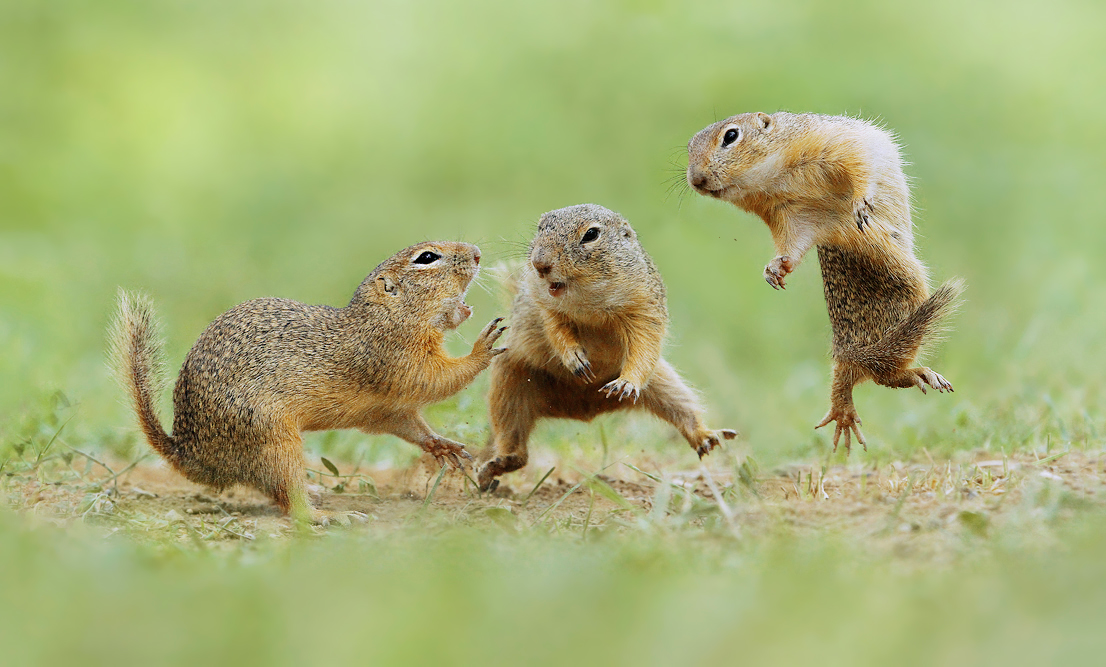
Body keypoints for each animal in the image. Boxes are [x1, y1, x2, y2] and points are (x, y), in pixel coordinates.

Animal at [110, 242, 506, 524]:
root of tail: (190, 453)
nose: (476, 252)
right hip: (272, 440)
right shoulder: (393, 360)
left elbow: (409, 424)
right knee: (289, 501)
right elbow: (438, 380)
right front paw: (483, 348)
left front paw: (442, 445)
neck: (386, 317)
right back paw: (327, 514)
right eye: (427, 258)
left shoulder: (386, 408)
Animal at [475, 203, 734, 491]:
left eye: (591, 234)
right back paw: (495, 466)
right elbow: (556, 332)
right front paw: (574, 358)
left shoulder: (645, 308)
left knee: (683, 410)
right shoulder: (546, 308)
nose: (539, 264)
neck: (589, 302)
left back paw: (706, 437)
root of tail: (581, 407)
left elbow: (645, 346)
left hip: (664, 383)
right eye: (541, 227)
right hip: (509, 382)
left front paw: (627, 382)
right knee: (515, 443)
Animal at [685, 112, 964, 451]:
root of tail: (849, 354)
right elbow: (791, 244)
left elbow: (859, 166)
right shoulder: (787, 214)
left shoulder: (831, 146)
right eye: (688, 146)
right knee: (887, 376)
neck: (773, 176)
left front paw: (861, 203)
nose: (696, 180)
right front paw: (774, 268)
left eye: (731, 136)